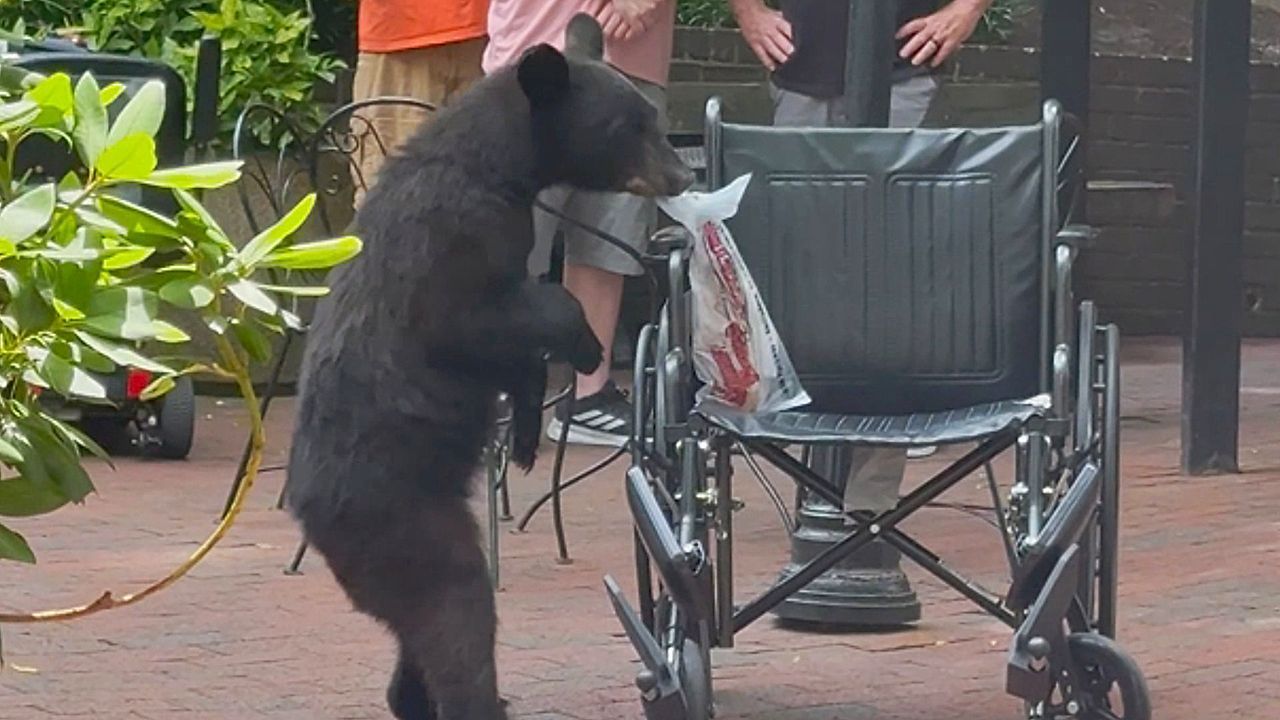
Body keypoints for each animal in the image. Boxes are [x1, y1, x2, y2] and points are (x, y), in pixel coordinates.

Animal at [284, 13, 694, 720]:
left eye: (653, 118)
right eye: (629, 126)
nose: (680, 174)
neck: (496, 168)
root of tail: (311, 515)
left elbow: (513, 355)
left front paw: (526, 431)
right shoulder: (454, 242)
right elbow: (493, 316)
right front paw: (584, 345)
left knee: (418, 637)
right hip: (410, 524)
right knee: (458, 613)